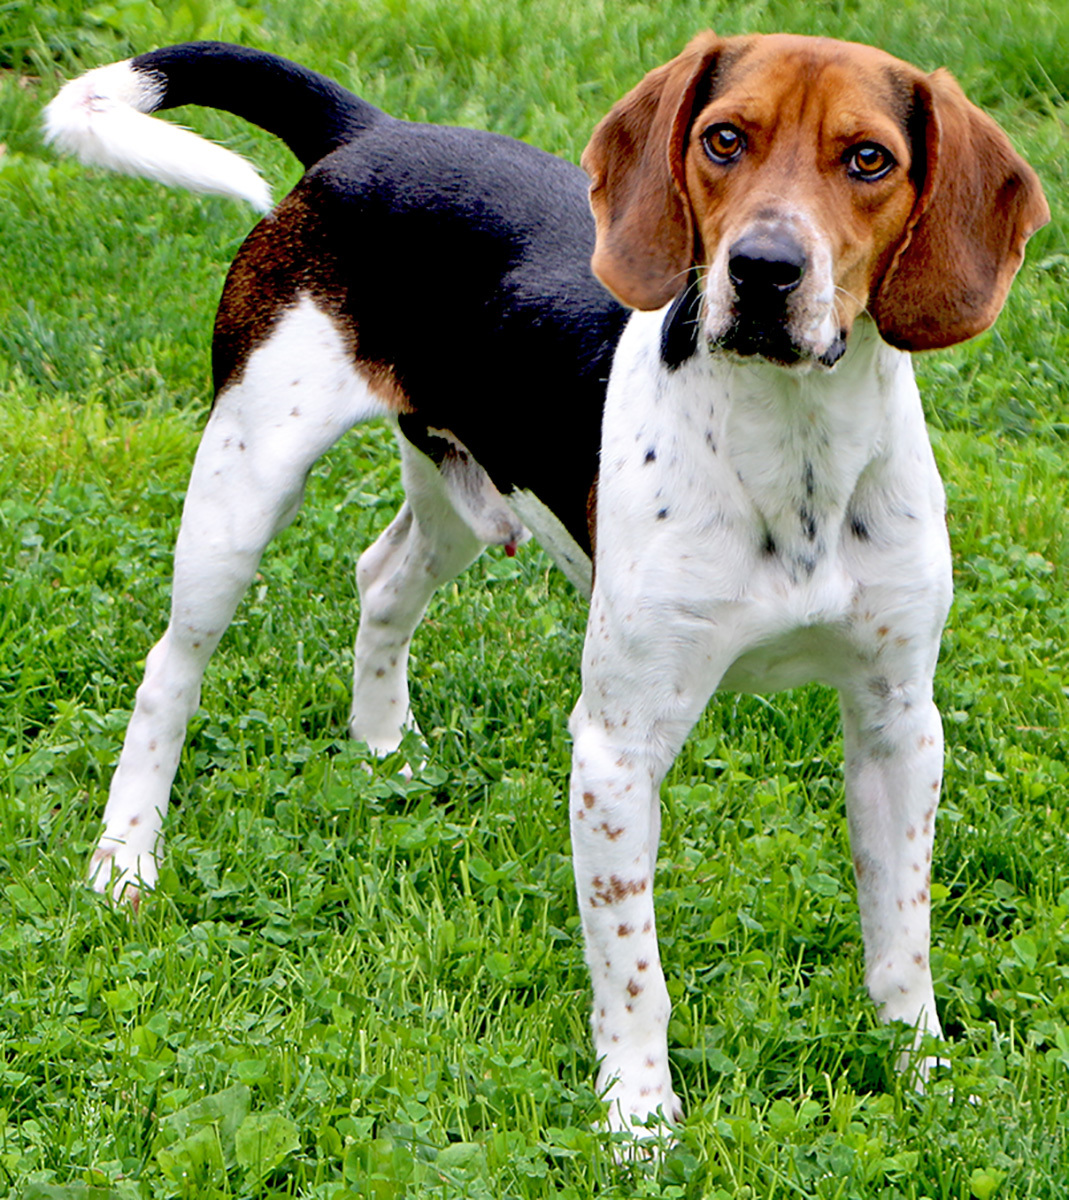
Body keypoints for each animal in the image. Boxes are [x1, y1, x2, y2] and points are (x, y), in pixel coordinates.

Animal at [45, 32, 1051, 1142]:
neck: (793, 452)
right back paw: (124, 862)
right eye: (723, 139)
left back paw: (387, 753)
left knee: (381, 579)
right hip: (242, 486)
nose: (762, 269)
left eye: (868, 159)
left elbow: (900, 941)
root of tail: (370, 133)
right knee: (167, 675)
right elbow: (634, 969)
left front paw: (923, 1077)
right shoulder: (616, 748)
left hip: (458, 489)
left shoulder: (897, 724)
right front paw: (639, 1122)